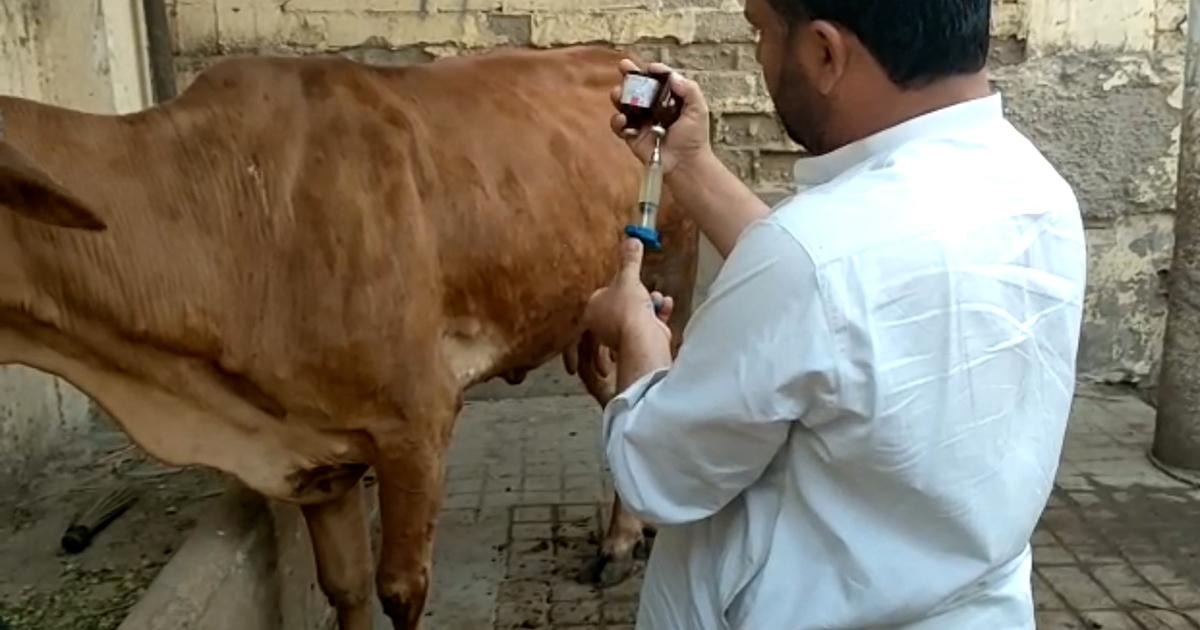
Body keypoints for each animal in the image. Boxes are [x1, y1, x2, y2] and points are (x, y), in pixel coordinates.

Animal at [0, 45, 697, 629]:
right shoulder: (319, 457)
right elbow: (347, 587)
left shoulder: (417, 425)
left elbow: (400, 589)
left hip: (666, 301)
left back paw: (620, 542)